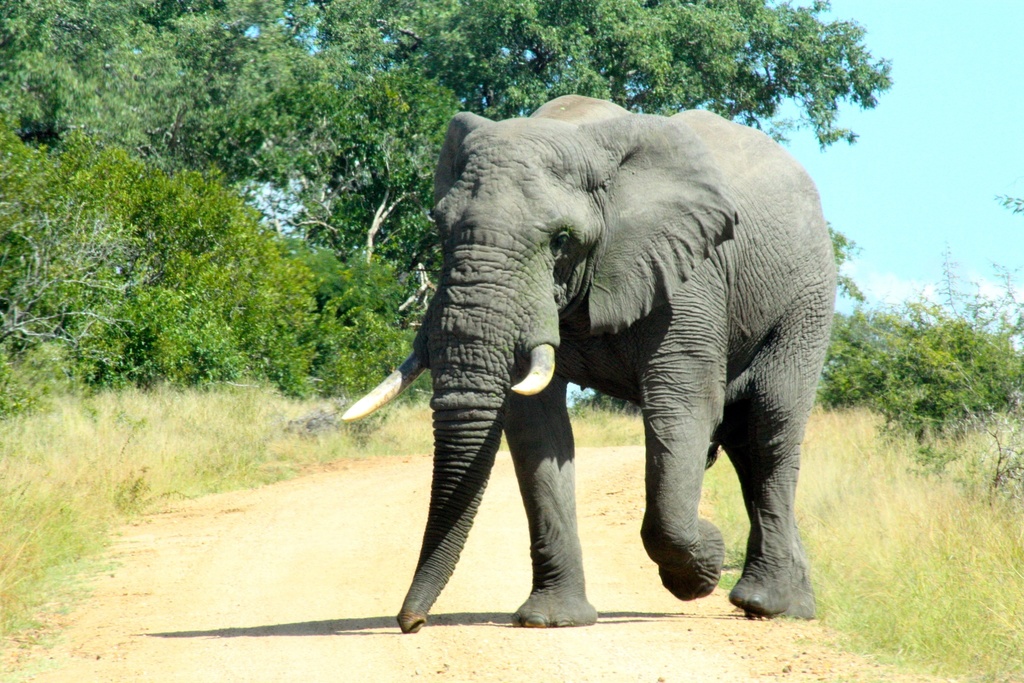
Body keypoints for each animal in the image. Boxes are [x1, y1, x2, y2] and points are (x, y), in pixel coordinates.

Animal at [339, 93, 835, 634]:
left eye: (560, 240)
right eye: (440, 228)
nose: (410, 622)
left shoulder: (691, 275)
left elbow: (682, 407)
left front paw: (702, 564)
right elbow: (536, 427)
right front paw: (551, 620)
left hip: (805, 303)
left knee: (769, 432)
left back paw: (764, 603)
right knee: (747, 445)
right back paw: (795, 603)